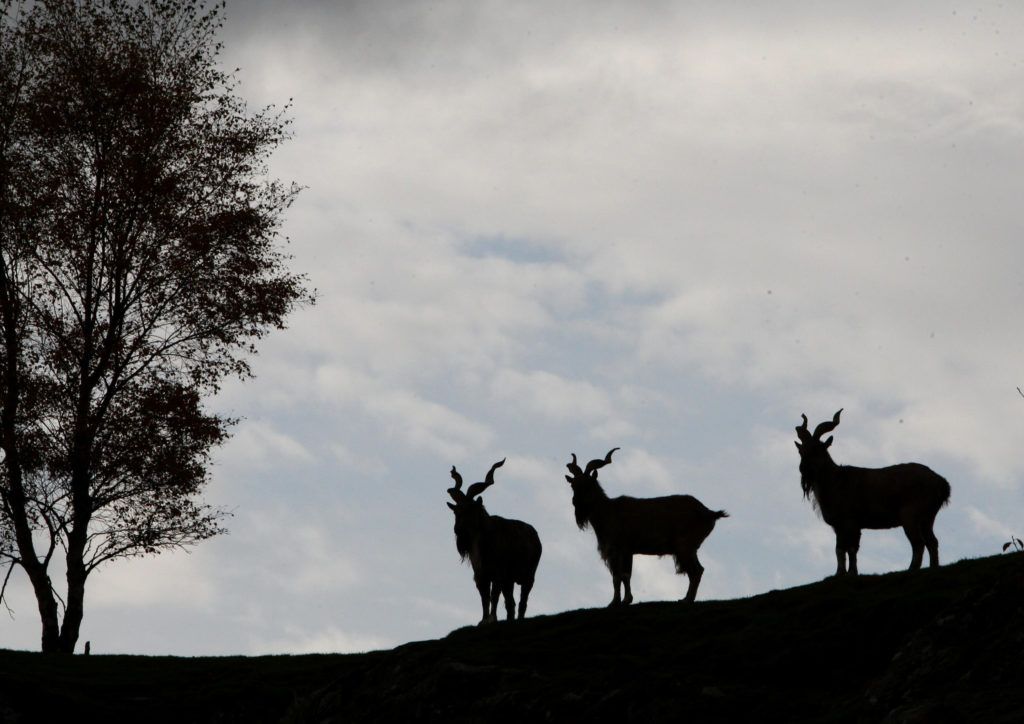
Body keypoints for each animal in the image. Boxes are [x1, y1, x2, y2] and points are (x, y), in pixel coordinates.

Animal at [448, 458, 544, 622]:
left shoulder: (498, 574)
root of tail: (536, 536)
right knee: (510, 604)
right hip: (510, 581)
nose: (458, 530)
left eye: (470, 510)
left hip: (528, 577)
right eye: (456, 511)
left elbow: (493, 596)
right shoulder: (482, 577)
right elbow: (484, 598)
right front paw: (483, 620)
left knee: (522, 602)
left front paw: (492, 618)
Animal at [565, 446, 724, 606]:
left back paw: (687, 599)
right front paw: (621, 600)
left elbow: (620, 576)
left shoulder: (621, 549)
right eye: (573, 485)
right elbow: (621, 577)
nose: (575, 502)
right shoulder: (622, 552)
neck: (608, 511)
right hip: (689, 549)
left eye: (588, 485)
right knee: (697, 571)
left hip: (684, 547)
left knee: (696, 571)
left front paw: (620, 601)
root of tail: (709, 513)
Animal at [790, 411, 950, 573]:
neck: (835, 482)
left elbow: (850, 549)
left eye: (817, 449)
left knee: (919, 543)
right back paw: (933, 567)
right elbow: (840, 549)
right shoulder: (840, 526)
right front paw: (840, 573)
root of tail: (942, 483)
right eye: (801, 451)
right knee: (932, 542)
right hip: (927, 518)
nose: (803, 469)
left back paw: (911, 569)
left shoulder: (850, 522)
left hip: (910, 515)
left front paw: (851, 573)